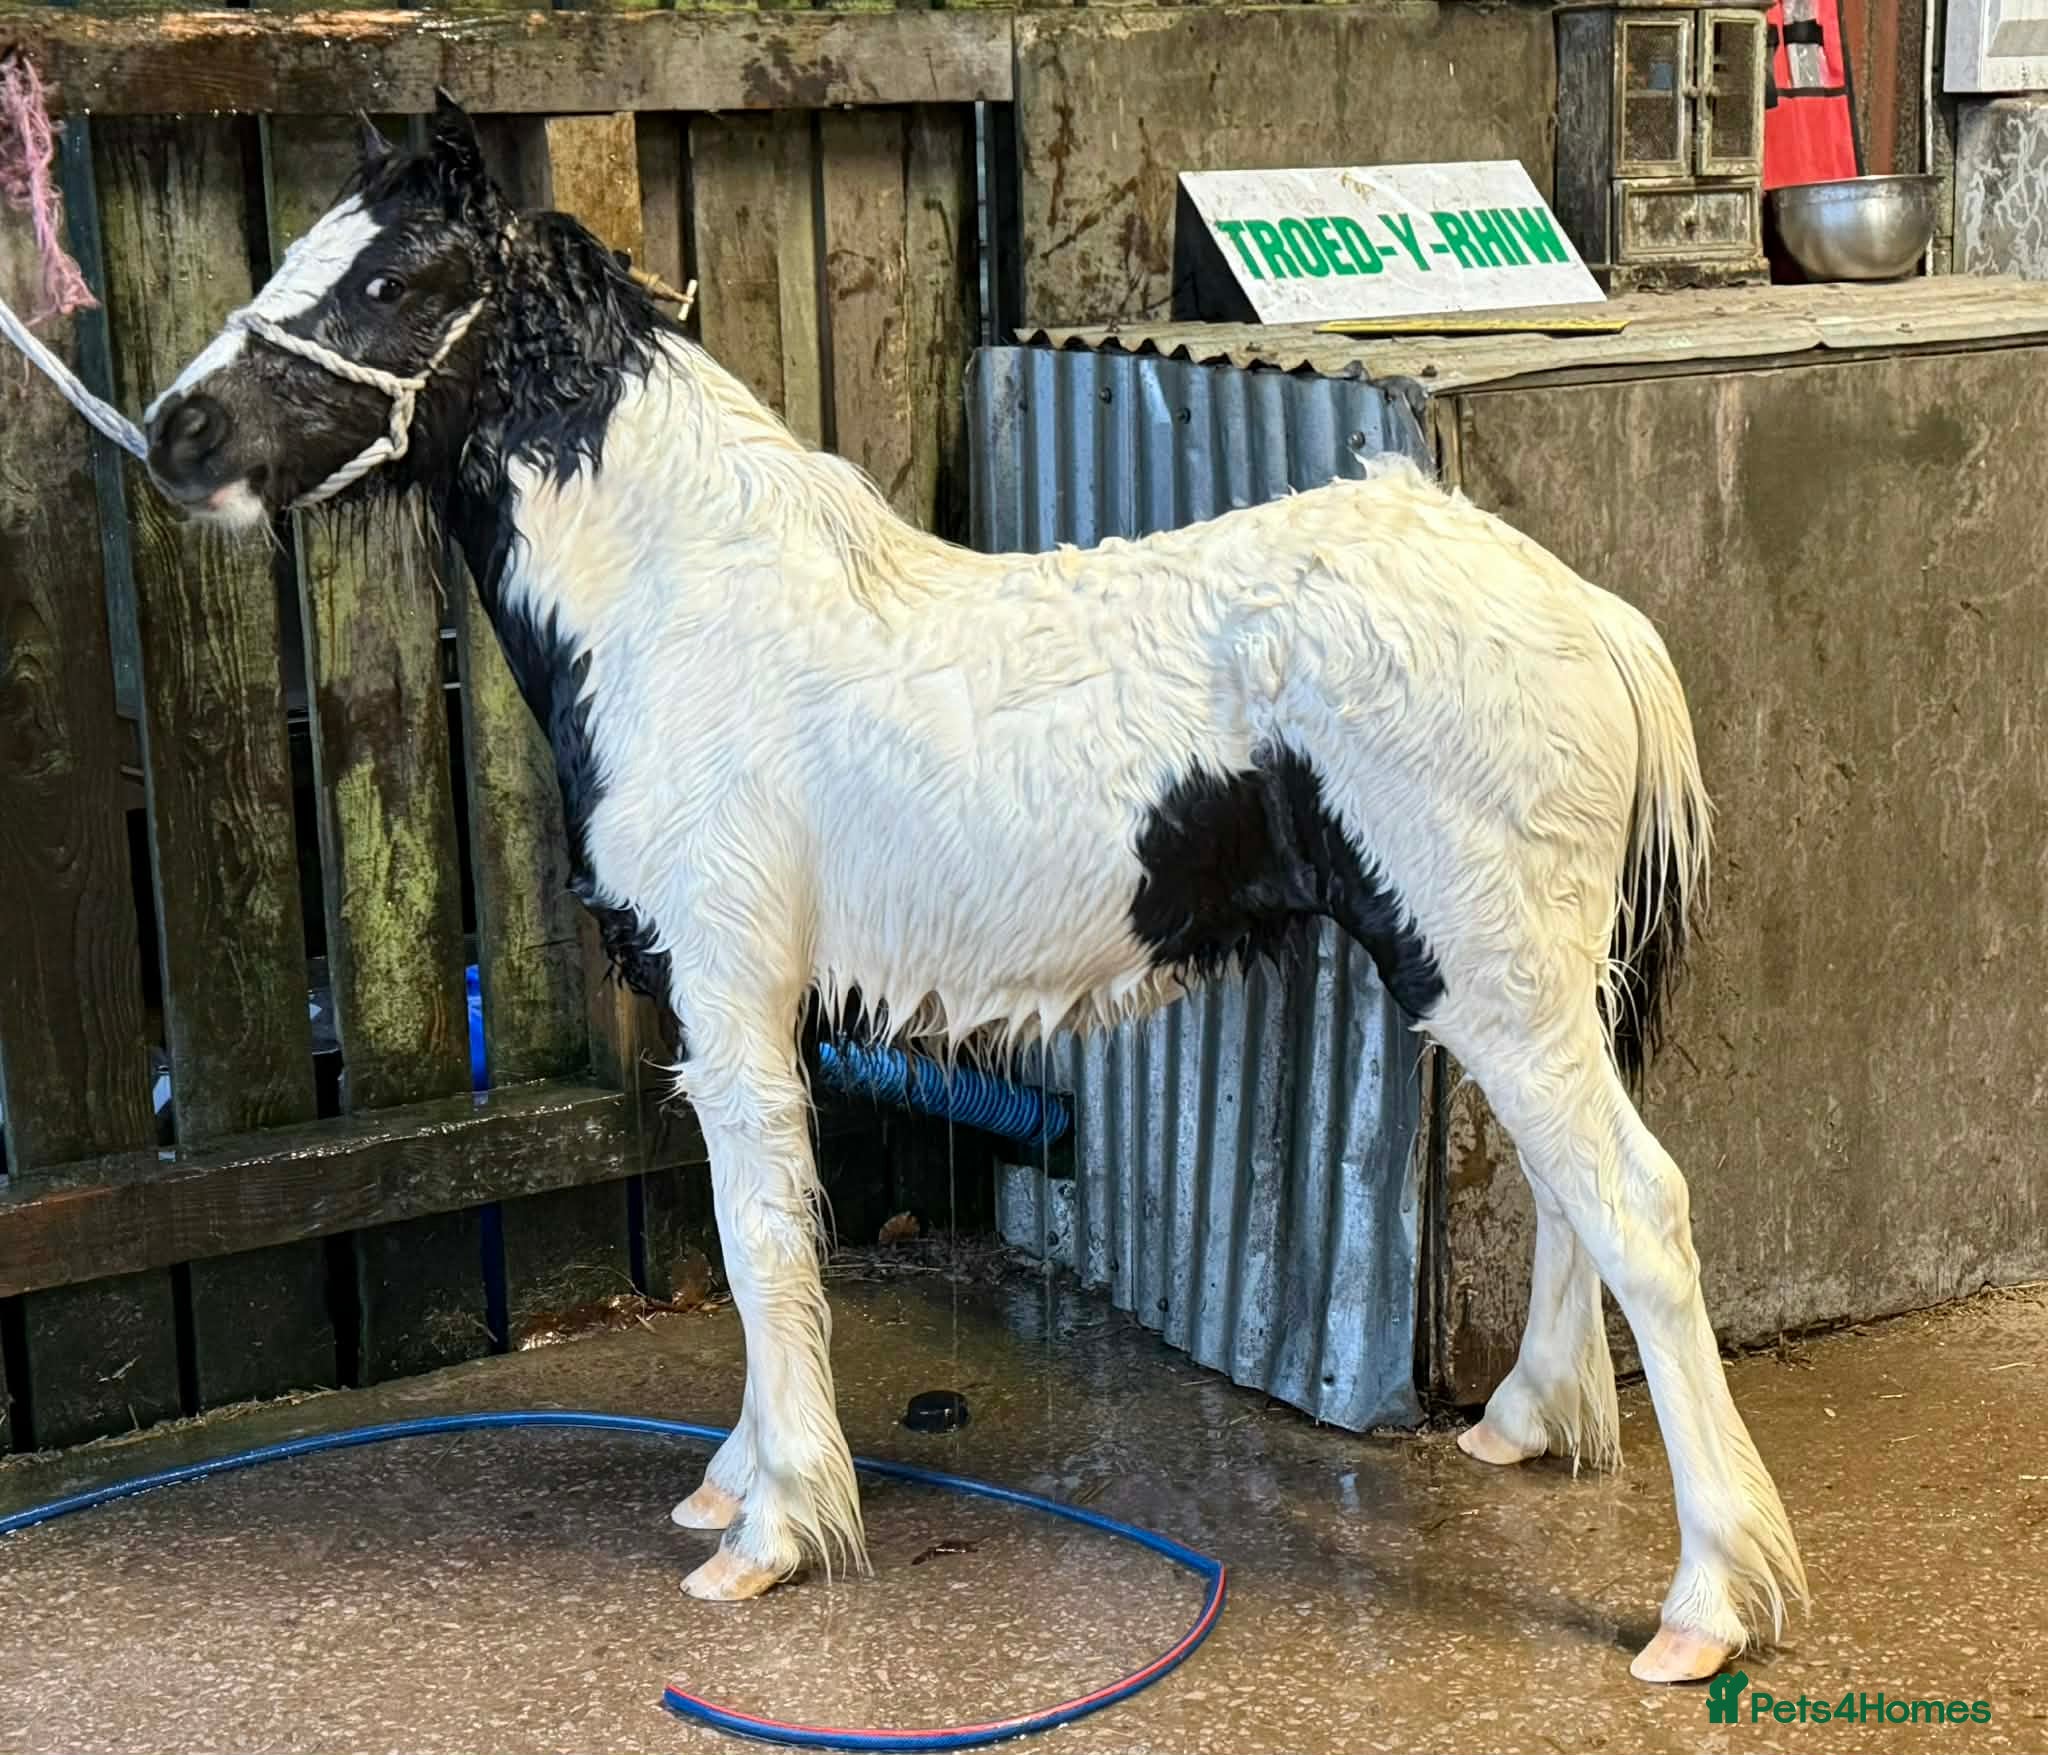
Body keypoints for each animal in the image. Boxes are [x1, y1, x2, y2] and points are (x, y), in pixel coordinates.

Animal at [140, 92, 1805, 1683]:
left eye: (393, 279)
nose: (176, 430)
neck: (691, 608)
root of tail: (1580, 605)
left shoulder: (732, 995)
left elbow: (761, 1238)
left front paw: (775, 1528)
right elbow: (768, 1235)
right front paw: (737, 1476)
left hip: (1494, 976)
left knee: (1639, 1207)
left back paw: (1707, 1605)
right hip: (1510, 979)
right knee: (1570, 1194)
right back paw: (1528, 1424)